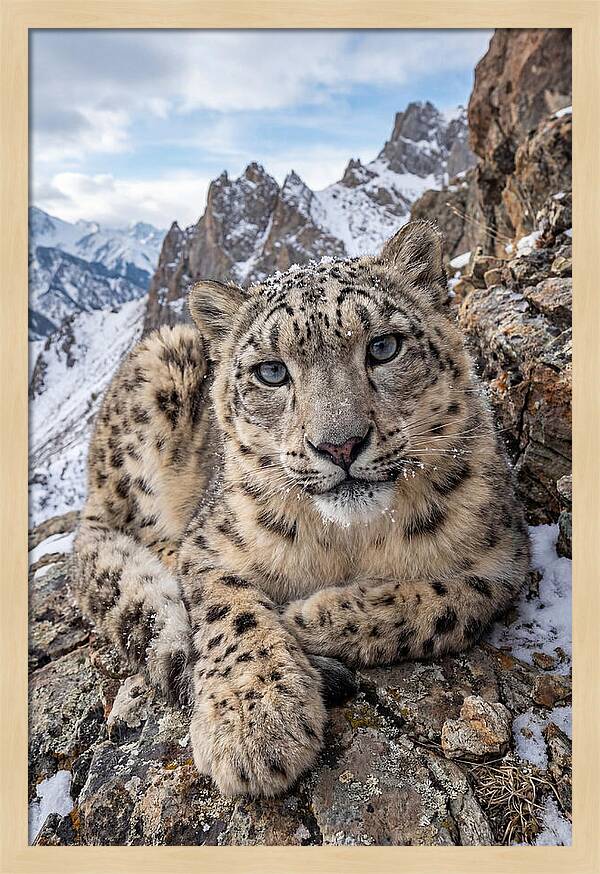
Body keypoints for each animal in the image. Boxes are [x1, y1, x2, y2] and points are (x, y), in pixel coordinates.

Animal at [71, 221, 529, 798]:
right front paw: (255, 722)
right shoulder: (210, 544)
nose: (340, 445)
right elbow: (231, 612)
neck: (350, 541)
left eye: (384, 346)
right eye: (271, 372)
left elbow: (446, 602)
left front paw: (308, 617)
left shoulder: (503, 557)